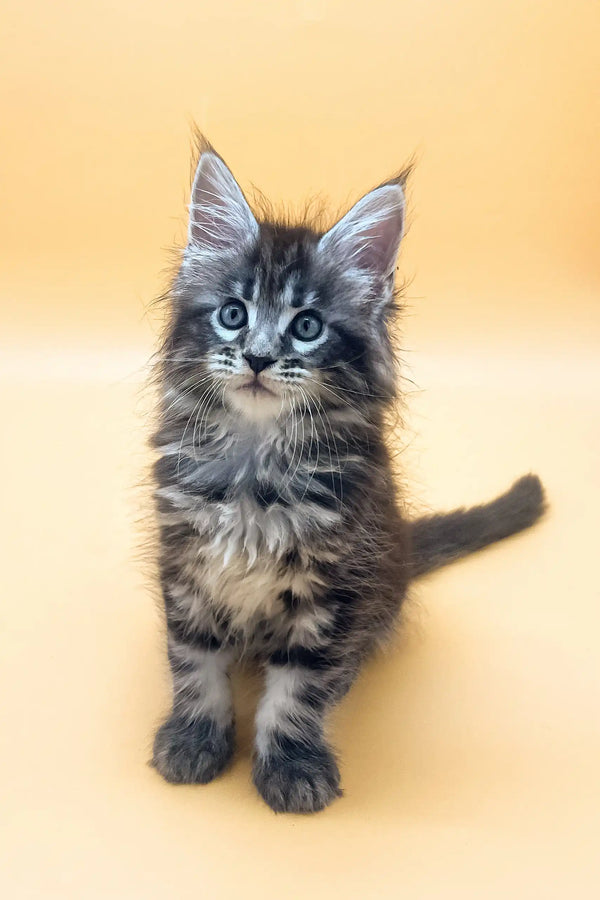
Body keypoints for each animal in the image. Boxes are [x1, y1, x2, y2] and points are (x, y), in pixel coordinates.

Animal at [149, 141, 544, 816]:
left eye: (307, 326)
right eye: (232, 314)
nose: (257, 357)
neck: (257, 468)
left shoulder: (335, 589)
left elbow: (298, 690)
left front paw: (292, 766)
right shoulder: (186, 565)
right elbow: (195, 662)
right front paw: (194, 739)